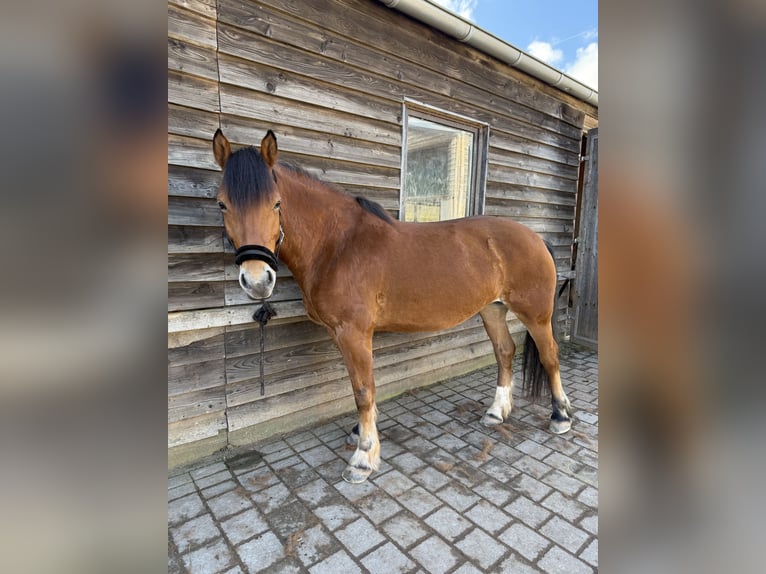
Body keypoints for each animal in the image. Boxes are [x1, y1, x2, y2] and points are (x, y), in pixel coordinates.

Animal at [212, 129, 573, 483]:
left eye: (276, 203)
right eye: (222, 205)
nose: (257, 280)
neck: (337, 246)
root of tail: (536, 238)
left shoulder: (354, 332)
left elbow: (362, 390)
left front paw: (363, 457)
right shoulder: (341, 334)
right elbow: (361, 385)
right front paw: (362, 433)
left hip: (535, 314)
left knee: (550, 355)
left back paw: (560, 416)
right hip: (492, 309)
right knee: (505, 351)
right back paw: (497, 412)